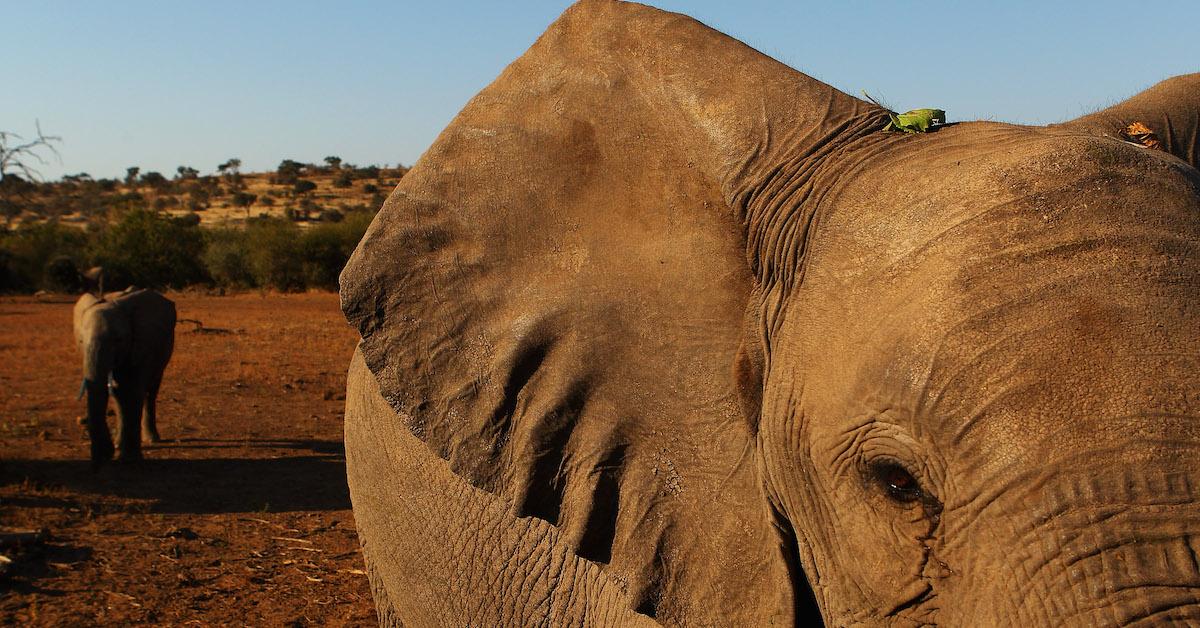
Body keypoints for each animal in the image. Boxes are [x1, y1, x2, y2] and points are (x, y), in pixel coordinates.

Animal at [73, 287, 176, 468]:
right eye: (81, 341)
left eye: (118, 340)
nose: (105, 456)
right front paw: (116, 452)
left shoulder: (142, 346)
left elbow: (134, 392)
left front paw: (130, 459)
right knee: (119, 396)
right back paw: (118, 444)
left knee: (150, 392)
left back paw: (151, 440)